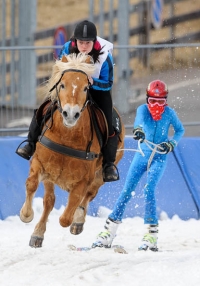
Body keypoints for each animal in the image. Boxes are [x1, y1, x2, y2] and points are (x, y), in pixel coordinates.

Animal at [19, 52, 125, 247]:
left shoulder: (84, 180)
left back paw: (78, 221)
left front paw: (75, 219)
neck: (67, 137)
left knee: (89, 194)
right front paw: (26, 215)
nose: (70, 114)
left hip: (100, 174)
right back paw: (38, 234)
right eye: (62, 85)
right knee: (49, 201)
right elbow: (32, 185)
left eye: (85, 88)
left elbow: (67, 216)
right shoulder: (41, 164)